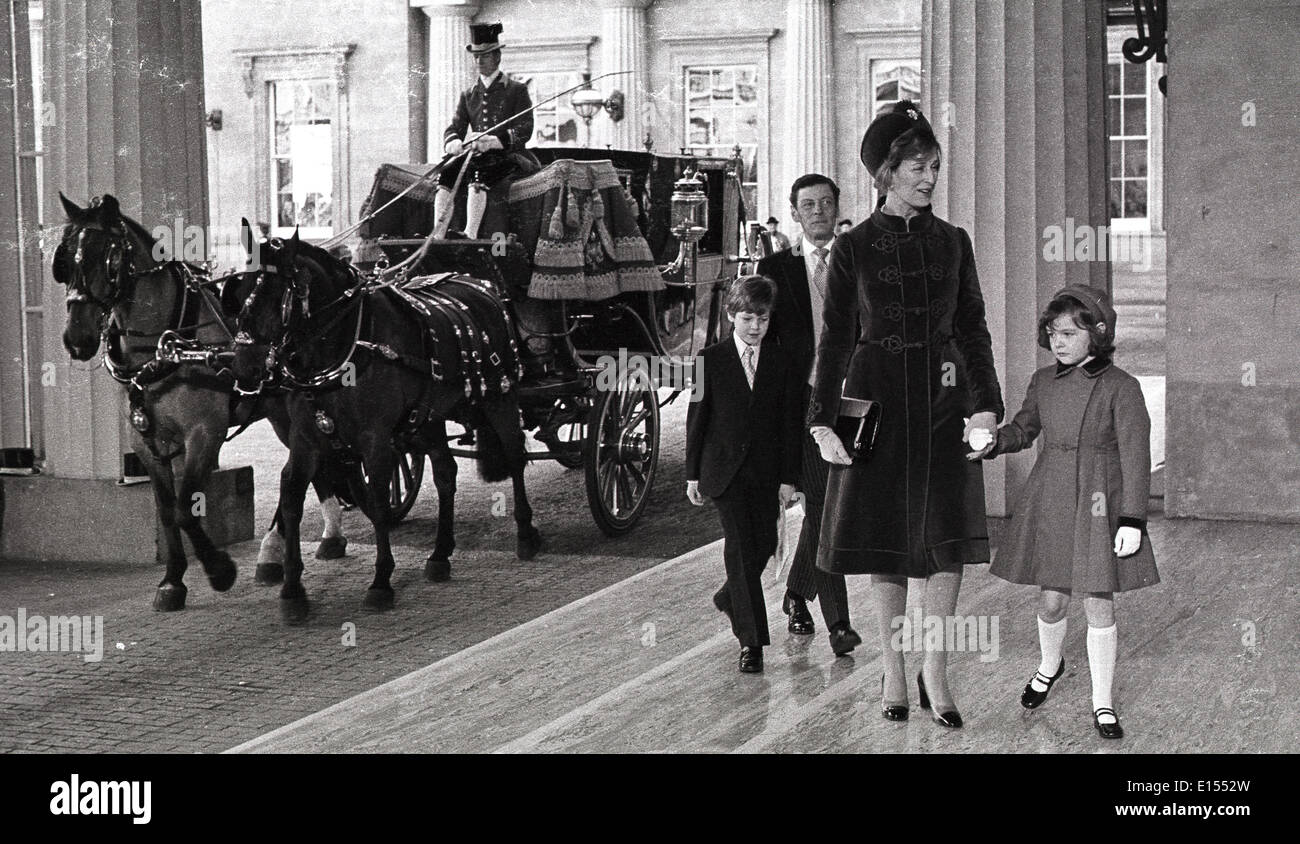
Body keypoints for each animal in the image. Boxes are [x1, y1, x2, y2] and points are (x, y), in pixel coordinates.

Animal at [54, 193, 351, 608]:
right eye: (65, 258)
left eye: (109, 257)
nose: (76, 338)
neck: (167, 347)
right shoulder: (146, 444)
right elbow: (165, 510)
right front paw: (172, 580)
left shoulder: (204, 433)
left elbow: (184, 508)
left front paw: (219, 570)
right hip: (283, 415)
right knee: (306, 469)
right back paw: (299, 545)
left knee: (303, 470)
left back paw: (302, 543)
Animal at [226, 227, 540, 621]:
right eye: (240, 291)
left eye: (276, 292)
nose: (244, 366)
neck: (346, 346)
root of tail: (481, 283)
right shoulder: (305, 439)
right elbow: (292, 497)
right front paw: (292, 588)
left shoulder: (375, 439)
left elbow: (376, 500)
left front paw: (381, 581)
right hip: (428, 418)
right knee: (445, 473)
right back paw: (440, 554)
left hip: (499, 396)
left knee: (514, 456)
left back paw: (526, 534)